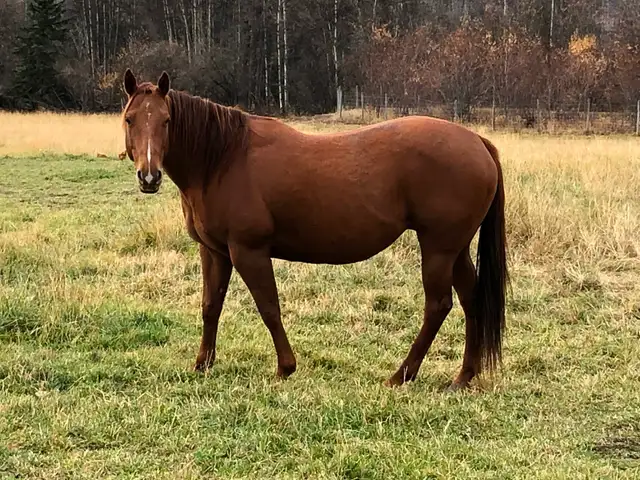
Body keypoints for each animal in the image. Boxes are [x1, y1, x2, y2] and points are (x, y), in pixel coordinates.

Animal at [121, 69, 508, 390]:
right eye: (129, 119)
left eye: (167, 120)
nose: (149, 177)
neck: (223, 158)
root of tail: (478, 141)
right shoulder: (214, 251)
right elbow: (210, 305)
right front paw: (202, 364)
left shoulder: (248, 251)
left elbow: (268, 307)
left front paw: (285, 367)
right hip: (455, 249)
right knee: (470, 299)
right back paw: (463, 377)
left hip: (438, 248)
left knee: (437, 305)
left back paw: (401, 375)